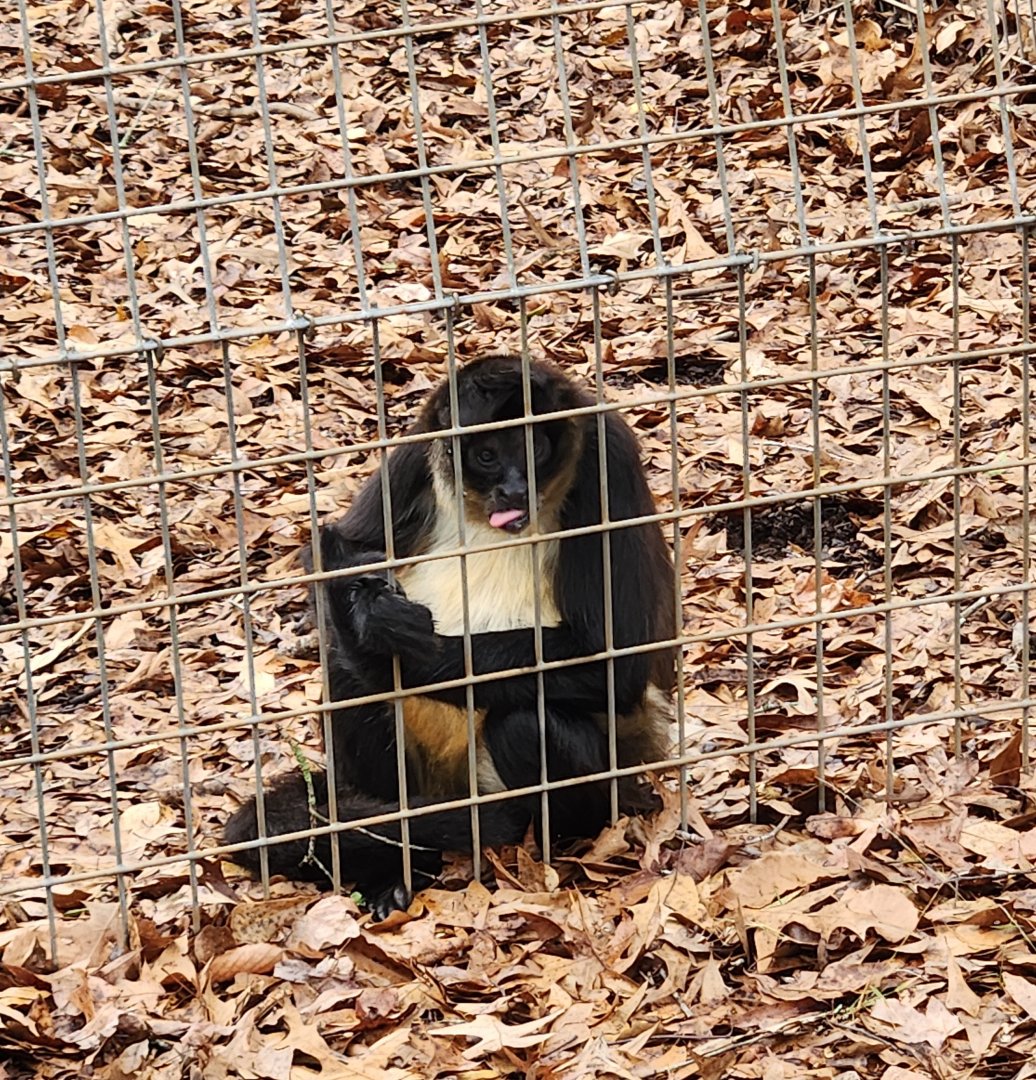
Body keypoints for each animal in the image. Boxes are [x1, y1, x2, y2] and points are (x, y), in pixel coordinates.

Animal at [224, 353, 676, 918]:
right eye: (486, 455)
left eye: (533, 449)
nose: (514, 490)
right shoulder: (421, 447)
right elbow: (333, 552)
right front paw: (371, 623)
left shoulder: (606, 454)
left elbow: (618, 662)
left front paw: (386, 646)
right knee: (347, 674)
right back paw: (400, 863)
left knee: (523, 723)